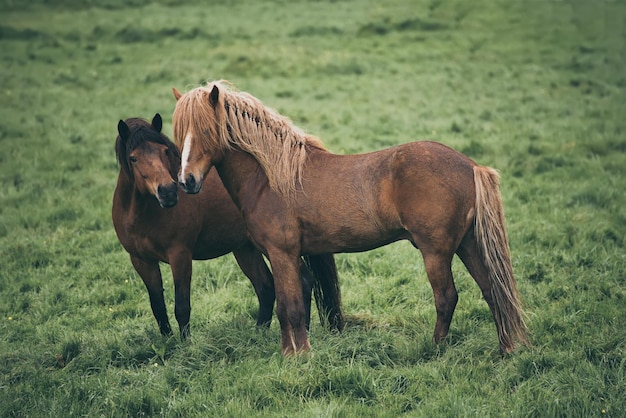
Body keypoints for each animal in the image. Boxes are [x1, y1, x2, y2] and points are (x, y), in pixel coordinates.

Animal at [109, 113, 338, 340]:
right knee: (265, 287)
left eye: (165, 151)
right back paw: (258, 335)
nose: (168, 192)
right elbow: (158, 307)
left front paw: (186, 346)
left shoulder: (180, 255)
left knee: (302, 281)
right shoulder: (141, 261)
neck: (144, 214)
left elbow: (182, 307)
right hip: (246, 248)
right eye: (133, 158)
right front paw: (168, 343)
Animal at [171, 81, 528, 356]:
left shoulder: (282, 253)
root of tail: (471, 166)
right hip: (467, 245)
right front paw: (292, 352)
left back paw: (436, 350)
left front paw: (297, 357)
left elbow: (290, 307)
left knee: (447, 298)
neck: (271, 177)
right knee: (492, 290)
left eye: (206, 131)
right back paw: (506, 349)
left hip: (436, 252)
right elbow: (290, 305)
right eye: (179, 135)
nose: (186, 181)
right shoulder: (288, 256)